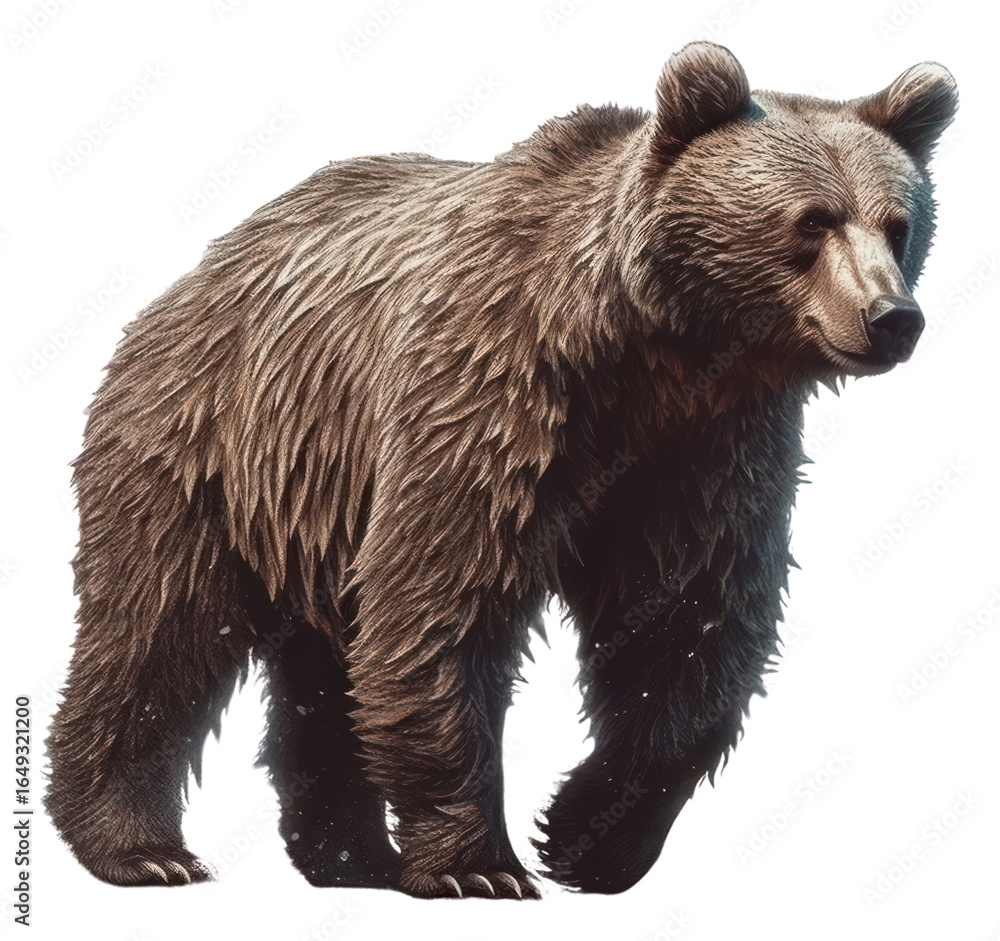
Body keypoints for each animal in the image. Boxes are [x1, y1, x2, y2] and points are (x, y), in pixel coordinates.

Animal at [45, 41, 958, 899]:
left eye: (898, 222)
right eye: (811, 221)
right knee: (158, 624)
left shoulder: (701, 450)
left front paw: (589, 834)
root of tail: (195, 275)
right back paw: (139, 846)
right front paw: (477, 863)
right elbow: (440, 601)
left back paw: (348, 854)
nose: (892, 317)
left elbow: (690, 621)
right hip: (209, 441)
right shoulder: (491, 395)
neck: (649, 354)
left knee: (319, 671)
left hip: (311, 493)